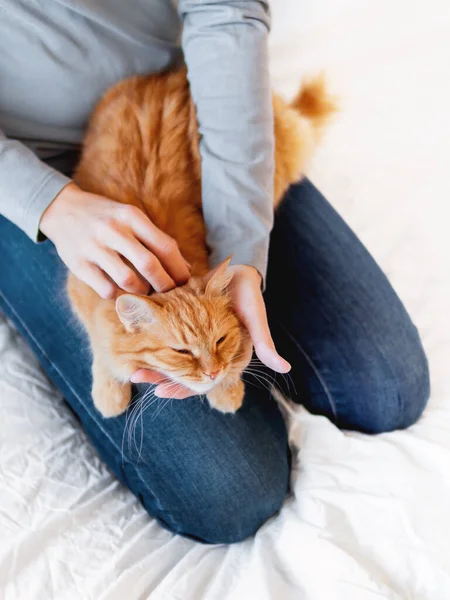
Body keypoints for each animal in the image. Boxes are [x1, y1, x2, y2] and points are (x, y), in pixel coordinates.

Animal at [67, 68, 334, 418]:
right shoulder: (81, 288)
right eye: (182, 351)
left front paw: (227, 388)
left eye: (220, 340)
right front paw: (109, 391)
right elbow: (100, 347)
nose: (212, 372)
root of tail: (175, 73)